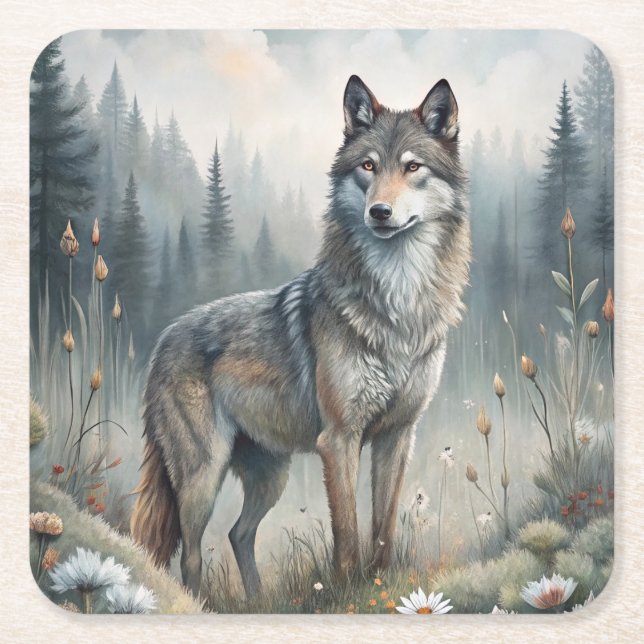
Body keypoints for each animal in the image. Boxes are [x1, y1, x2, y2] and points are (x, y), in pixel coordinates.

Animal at [131, 75, 470, 599]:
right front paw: (347, 589)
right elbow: (347, 530)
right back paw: (203, 604)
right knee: (190, 554)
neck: (397, 304)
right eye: (368, 167)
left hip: (272, 475)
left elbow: (383, 527)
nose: (379, 211)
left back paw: (256, 602)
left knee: (238, 533)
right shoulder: (339, 439)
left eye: (413, 167)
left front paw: (379, 586)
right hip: (203, 475)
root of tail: (164, 337)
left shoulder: (397, 437)